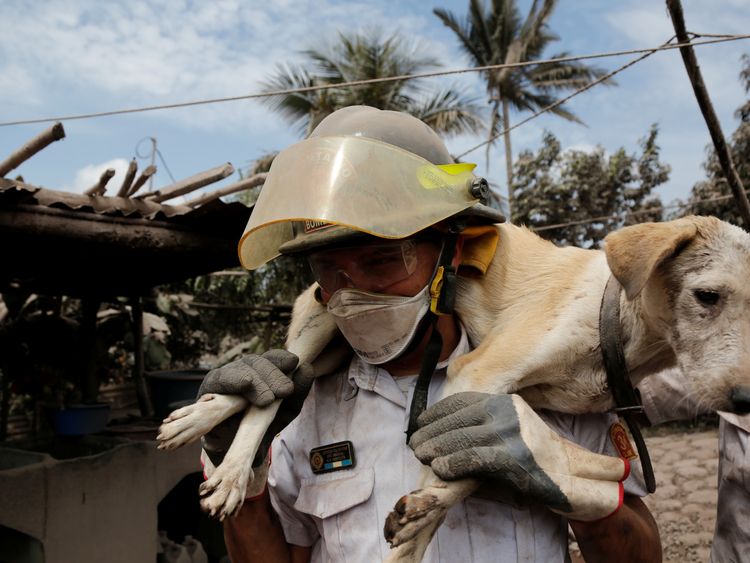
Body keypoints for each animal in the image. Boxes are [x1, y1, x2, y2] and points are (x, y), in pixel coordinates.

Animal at [156, 215, 750, 560]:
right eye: (707, 296)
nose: (744, 400)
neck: (617, 327)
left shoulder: (496, 407)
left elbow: (468, 466)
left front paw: (422, 514)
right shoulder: (480, 369)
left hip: (327, 356)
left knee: (281, 386)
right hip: (319, 323)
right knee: (271, 392)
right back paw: (219, 454)